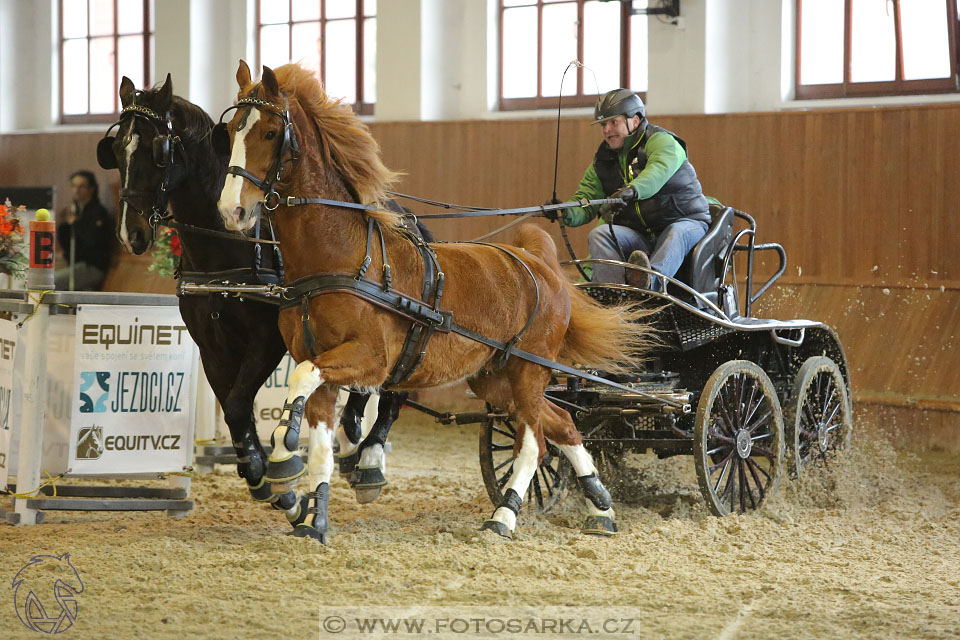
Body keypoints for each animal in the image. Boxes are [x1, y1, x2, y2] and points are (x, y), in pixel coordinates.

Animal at [217, 60, 652, 544]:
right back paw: (600, 506)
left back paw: (505, 514)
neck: (340, 256)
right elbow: (319, 446)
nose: (232, 210)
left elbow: (302, 384)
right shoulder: (322, 365)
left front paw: (281, 454)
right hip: (495, 378)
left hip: (529, 370)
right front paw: (314, 520)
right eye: (233, 128)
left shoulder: (370, 361)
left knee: (534, 441)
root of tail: (541, 265)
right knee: (562, 422)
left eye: (271, 132)